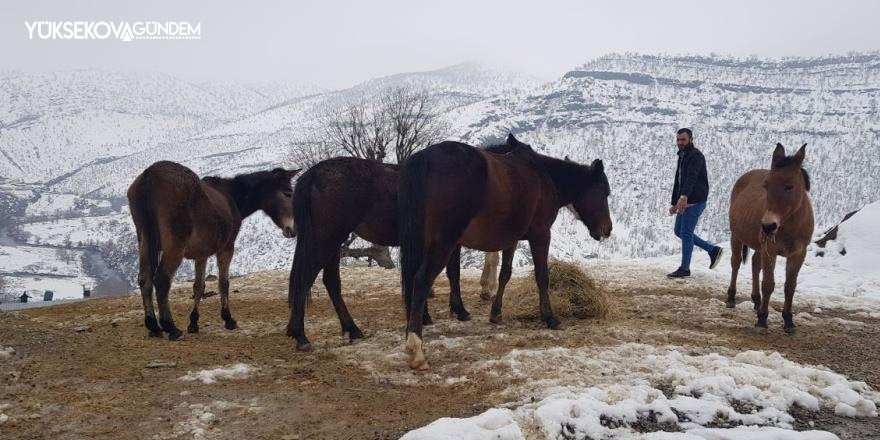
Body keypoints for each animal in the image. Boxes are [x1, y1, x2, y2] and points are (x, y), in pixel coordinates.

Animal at [127, 162, 300, 340]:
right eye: (288, 193)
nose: (293, 229)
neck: (231, 197)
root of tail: (149, 175)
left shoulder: (201, 254)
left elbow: (199, 286)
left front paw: (194, 322)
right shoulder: (226, 248)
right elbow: (223, 283)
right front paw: (228, 319)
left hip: (144, 242)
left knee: (145, 280)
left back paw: (153, 326)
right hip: (174, 247)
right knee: (162, 280)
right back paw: (171, 328)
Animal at [286, 156, 506, 352]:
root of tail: (313, 174)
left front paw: (424, 316)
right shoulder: (450, 242)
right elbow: (452, 274)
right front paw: (459, 310)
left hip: (333, 243)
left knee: (331, 282)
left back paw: (352, 329)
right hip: (327, 240)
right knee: (305, 279)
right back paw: (300, 335)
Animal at [398, 133, 612, 368]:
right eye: (605, 193)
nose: (608, 229)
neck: (544, 176)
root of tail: (426, 158)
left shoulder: (512, 239)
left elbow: (505, 274)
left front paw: (496, 312)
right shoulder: (541, 235)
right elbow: (542, 276)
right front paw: (549, 317)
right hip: (443, 243)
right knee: (421, 281)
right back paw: (416, 348)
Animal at [724, 144, 816, 334]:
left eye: (789, 186)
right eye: (766, 185)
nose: (767, 226)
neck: (788, 226)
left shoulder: (798, 254)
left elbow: (790, 286)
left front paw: (788, 320)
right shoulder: (770, 251)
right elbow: (768, 284)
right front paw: (762, 319)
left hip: (759, 246)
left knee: (754, 263)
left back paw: (756, 300)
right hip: (737, 236)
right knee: (736, 263)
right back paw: (732, 297)